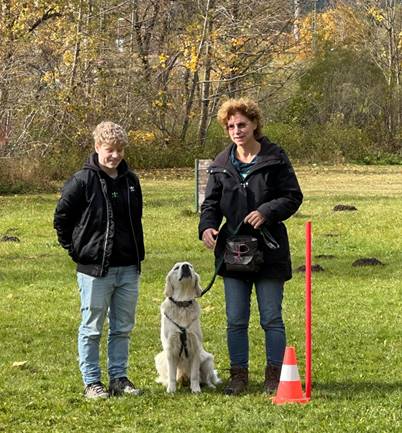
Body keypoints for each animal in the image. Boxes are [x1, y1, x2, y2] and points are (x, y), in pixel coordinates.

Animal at [155, 261, 221, 393]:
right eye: (176, 267)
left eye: (190, 266)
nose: (185, 266)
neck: (182, 304)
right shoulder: (170, 348)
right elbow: (171, 375)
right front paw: (171, 390)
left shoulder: (195, 346)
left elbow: (195, 375)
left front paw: (196, 390)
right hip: (160, 358)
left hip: (208, 359)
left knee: (206, 378)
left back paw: (210, 385)